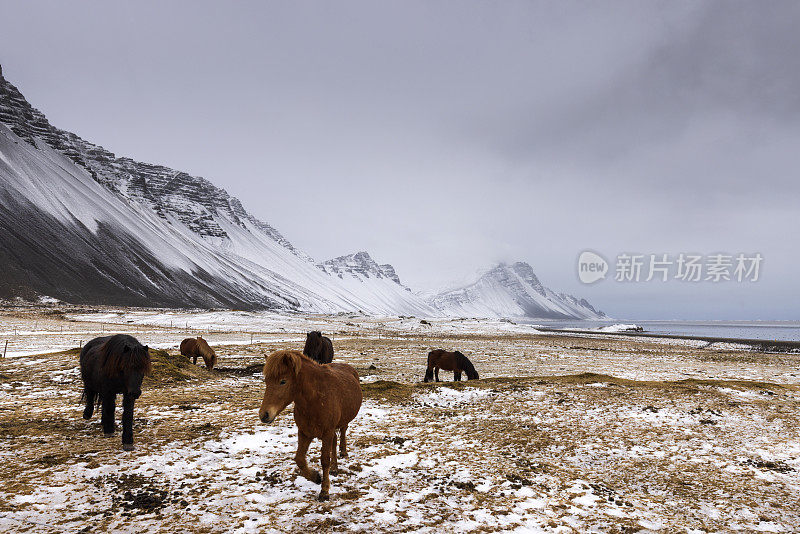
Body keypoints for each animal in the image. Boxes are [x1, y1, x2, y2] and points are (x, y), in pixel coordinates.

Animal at [258, 352, 360, 502]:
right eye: (266, 381)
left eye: (283, 381)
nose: (264, 415)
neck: (316, 398)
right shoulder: (304, 432)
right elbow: (299, 459)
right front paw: (315, 477)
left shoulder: (327, 432)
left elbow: (324, 460)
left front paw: (324, 491)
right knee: (335, 440)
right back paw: (334, 468)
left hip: (341, 423)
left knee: (342, 432)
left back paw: (343, 452)